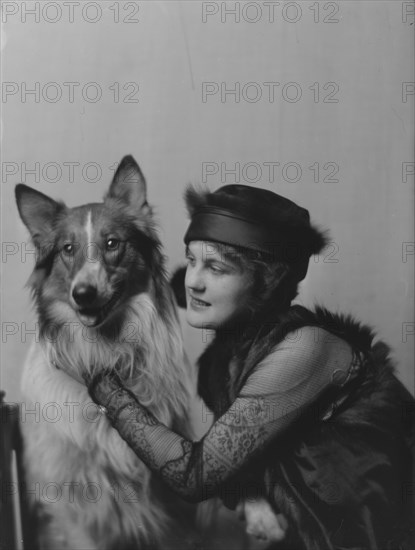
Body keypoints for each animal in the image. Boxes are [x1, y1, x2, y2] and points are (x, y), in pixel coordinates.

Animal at [15, 155, 197, 550]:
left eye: (112, 243)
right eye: (68, 249)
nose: (83, 294)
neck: (104, 351)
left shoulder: (165, 500)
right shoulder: (77, 507)